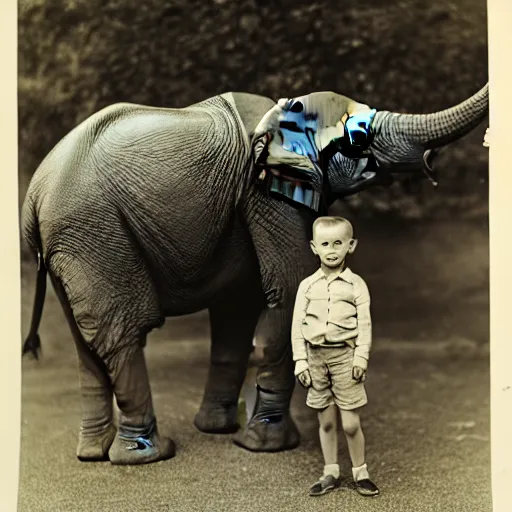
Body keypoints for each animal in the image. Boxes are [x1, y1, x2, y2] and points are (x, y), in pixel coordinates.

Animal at [21, 84, 488, 464]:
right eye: (358, 138)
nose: (431, 165)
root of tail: (33, 199)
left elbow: (237, 308)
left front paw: (219, 431)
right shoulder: (264, 193)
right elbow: (288, 289)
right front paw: (264, 446)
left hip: (76, 243)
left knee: (86, 344)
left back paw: (92, 454)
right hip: (93, 231)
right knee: (123, 332)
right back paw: (147, 455)